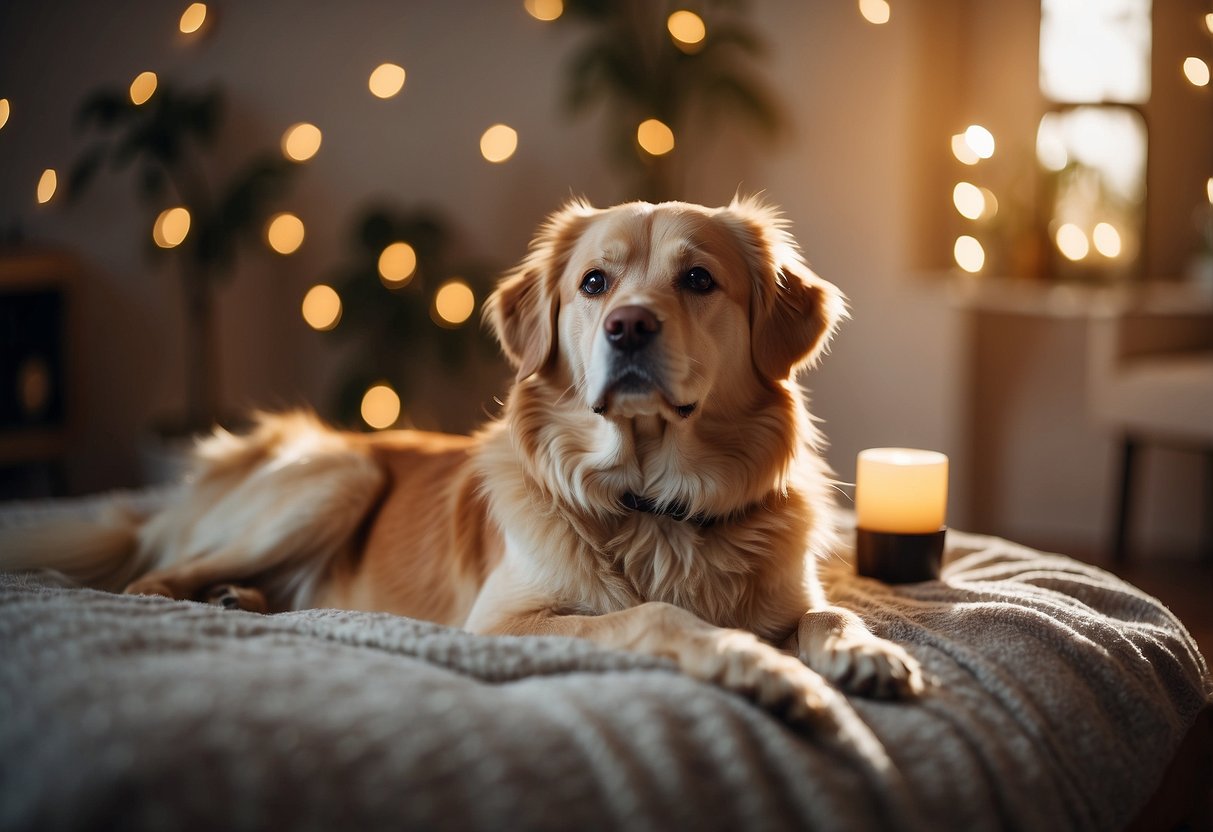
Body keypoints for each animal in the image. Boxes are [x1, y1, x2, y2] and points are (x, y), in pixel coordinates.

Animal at [4, 200, 921, 722]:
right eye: (594, 284)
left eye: (697, 279)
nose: (627, 326)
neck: (654, 503)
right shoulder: (505, 623)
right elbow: (659, 616)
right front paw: (757, 665)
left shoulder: (791, 595)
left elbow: (828, 615)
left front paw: (869, 652)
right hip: (339, 476)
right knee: (148, 582)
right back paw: (213, 595)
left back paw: (246, 599)